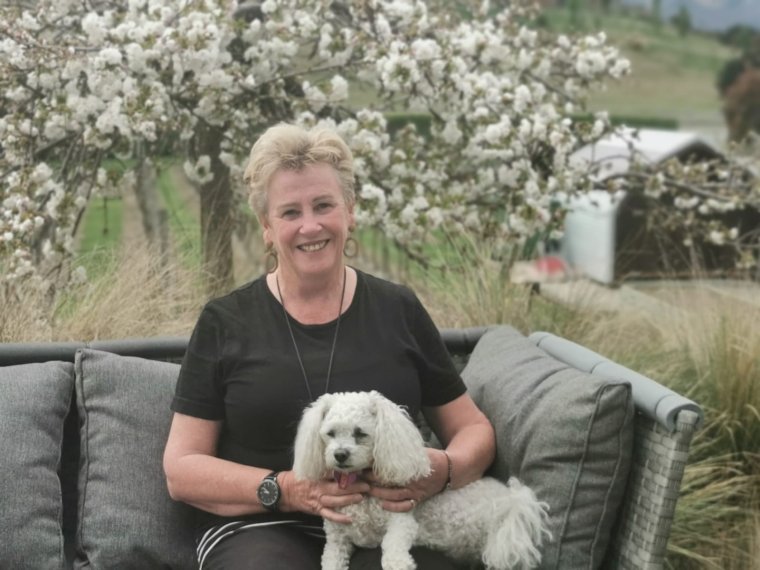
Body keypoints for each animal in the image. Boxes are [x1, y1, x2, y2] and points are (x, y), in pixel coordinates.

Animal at [294, 388, 548, 568]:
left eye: (360, 433)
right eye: (330, 434)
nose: (340, 455)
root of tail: (511, 500)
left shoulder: (402, 519)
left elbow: (392, 548)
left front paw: (399, 564)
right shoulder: (337, 541)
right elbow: (331, 560)